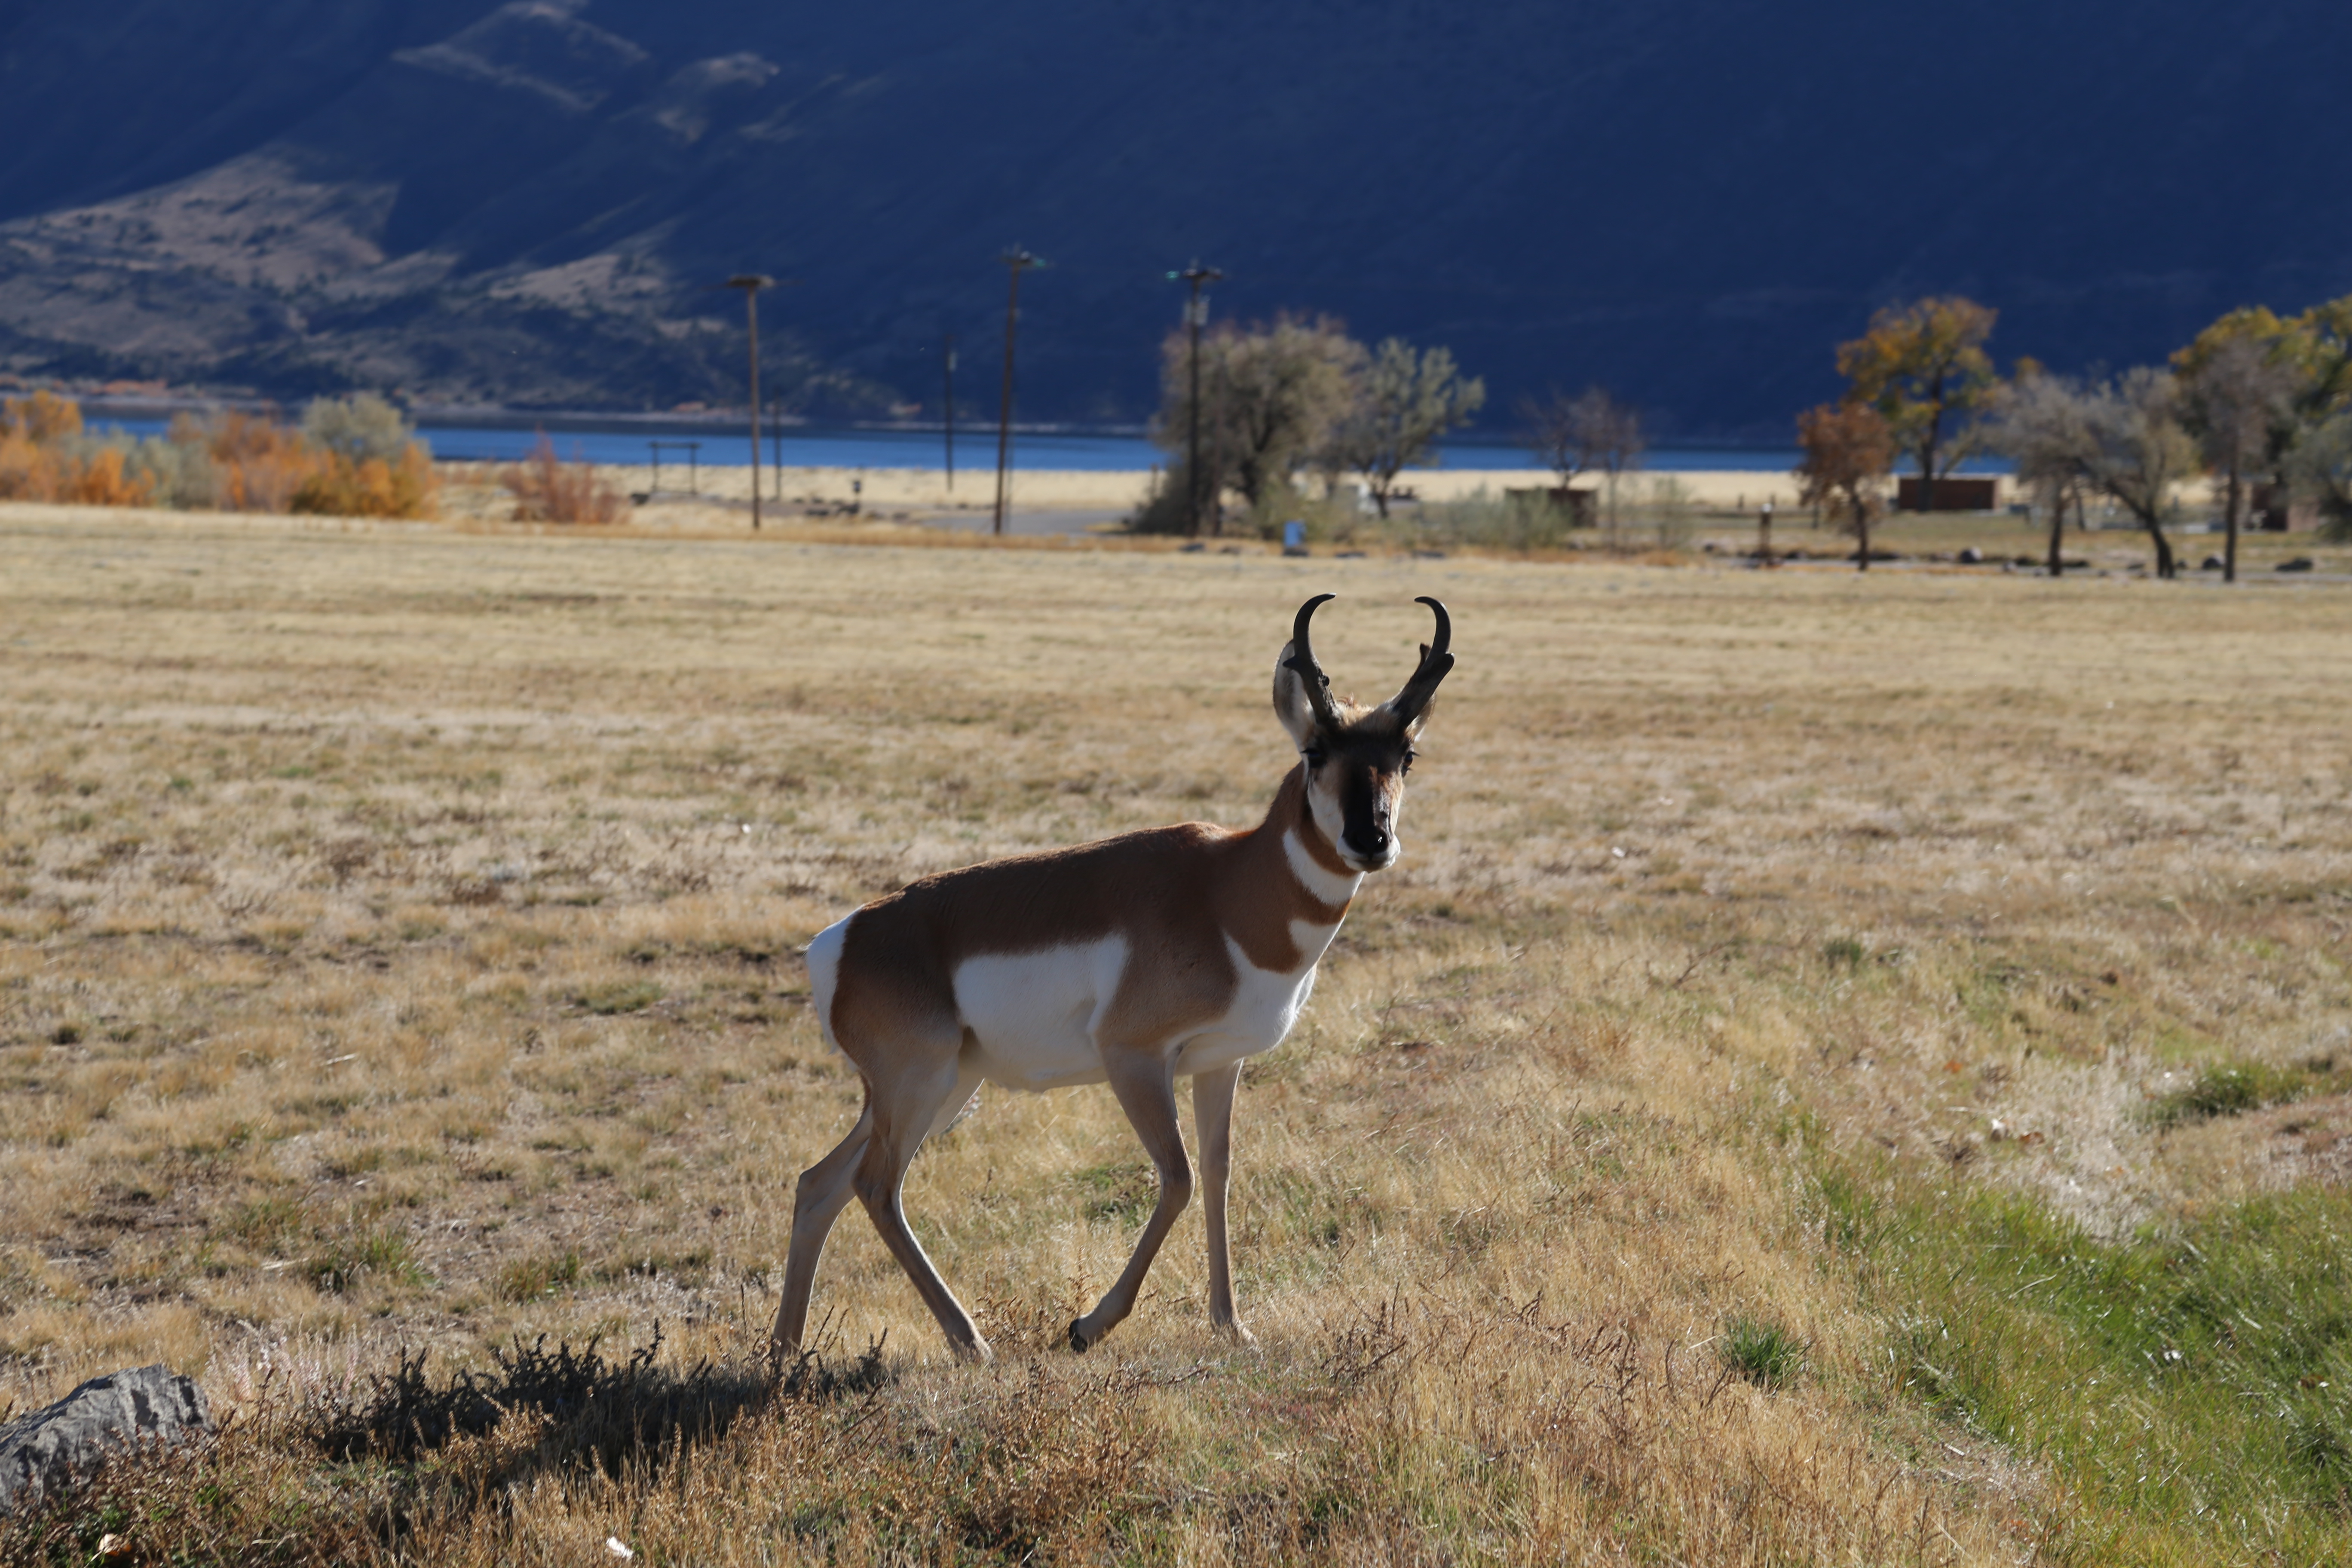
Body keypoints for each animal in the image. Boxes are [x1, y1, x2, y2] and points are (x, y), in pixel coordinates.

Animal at [781, 594, 1449, 1354]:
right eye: (1316, 750)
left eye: (1406, 754)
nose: (1373, 840)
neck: (1227, 892)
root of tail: (841, 940)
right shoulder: (1134, 1058)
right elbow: (1178, 1178)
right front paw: (1088, 1325)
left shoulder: (1219, 1065)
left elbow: (1217, 1175)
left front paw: (1233, 1326)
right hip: (920, 1088)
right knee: (875, 1186)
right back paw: (971, 1342)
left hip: (936, 1091)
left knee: (820, 1183)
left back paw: (786, 1352)